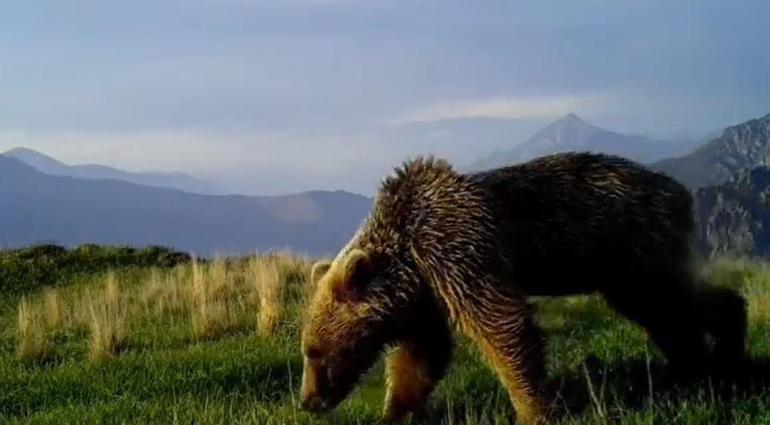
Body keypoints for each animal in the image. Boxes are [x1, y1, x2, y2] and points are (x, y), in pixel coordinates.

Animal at [296, 152, 740, 424]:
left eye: (315, 351)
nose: (308, 401)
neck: (409, 255)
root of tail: (681, 192)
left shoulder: (459, 249)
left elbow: (502, 324)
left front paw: (533, 409)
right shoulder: (426, 290)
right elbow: (421, 355)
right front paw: (395, 411)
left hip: (634, 245)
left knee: (671, 299)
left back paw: (719, 352)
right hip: (623, 265)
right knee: (663, 309)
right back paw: (693, 364)